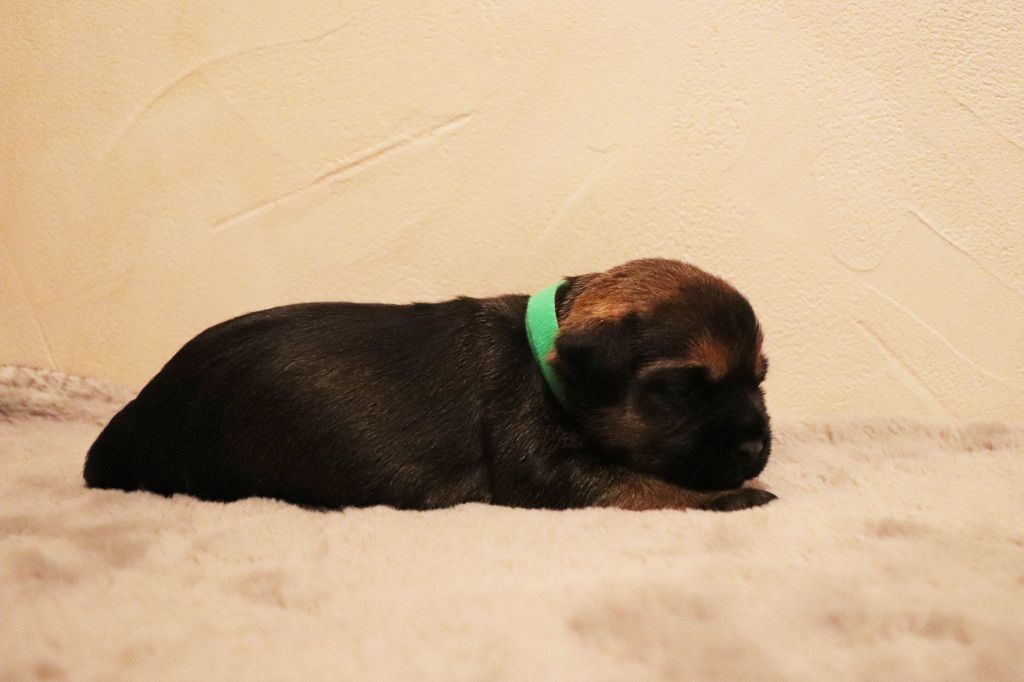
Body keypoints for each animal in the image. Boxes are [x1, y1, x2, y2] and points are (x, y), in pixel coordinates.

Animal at [84, 258, 775, 512]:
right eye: (683, 390)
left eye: (762, 379)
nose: (755, 447)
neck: (547, 361)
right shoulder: (544, 472)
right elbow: (644, 486)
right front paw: (737, 497)